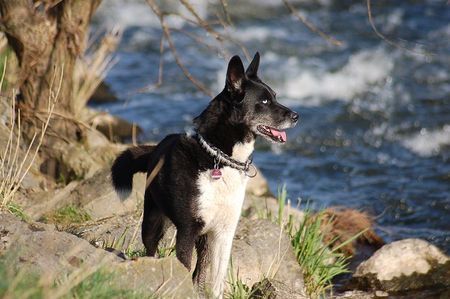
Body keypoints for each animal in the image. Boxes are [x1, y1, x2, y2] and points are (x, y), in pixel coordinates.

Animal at [110, 52, 298, 298]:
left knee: (199, 271)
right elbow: (184, 266)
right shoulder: (187, 231)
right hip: (153, 222)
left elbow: (216, 279)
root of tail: (155, 148)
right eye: (265, 101)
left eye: (275, 96)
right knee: (151, 249)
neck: (220, 158)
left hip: (202, 239)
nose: (296, 116)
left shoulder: (223, 233)